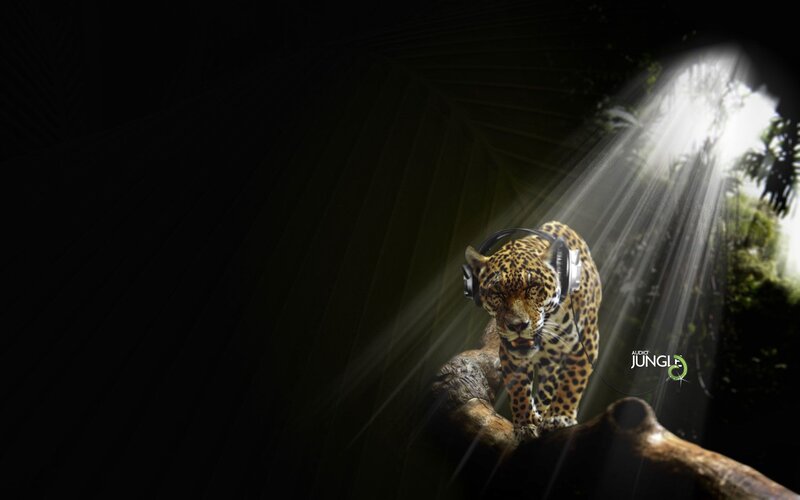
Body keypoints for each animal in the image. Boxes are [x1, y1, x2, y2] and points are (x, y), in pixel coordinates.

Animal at [464, 221, 601, 439]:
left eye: (532, 287)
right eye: (497, 292)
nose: (517, 325)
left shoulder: (586, 342)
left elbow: (572, 380)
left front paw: (559, 416)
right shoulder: (510, 352)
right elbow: (519, 388)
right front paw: (525, 423)